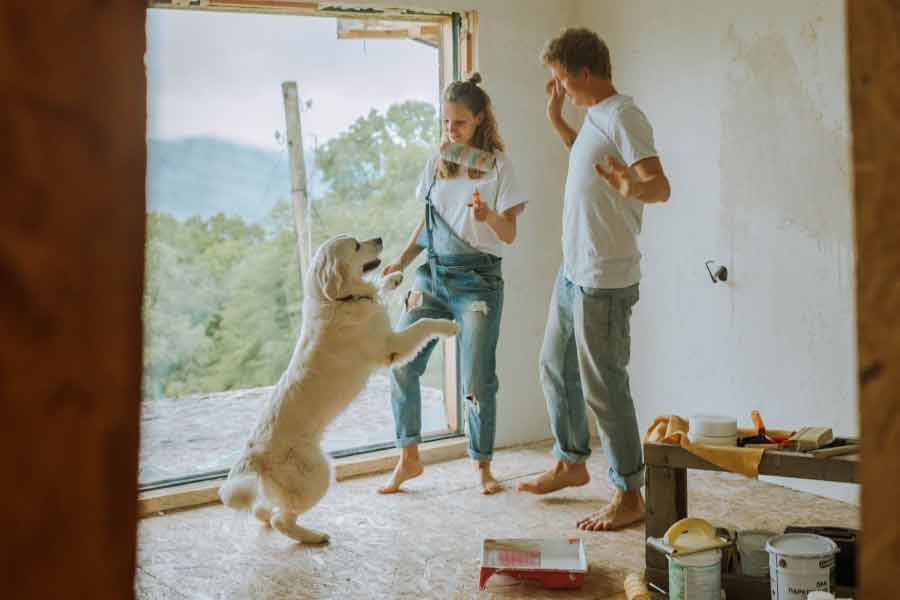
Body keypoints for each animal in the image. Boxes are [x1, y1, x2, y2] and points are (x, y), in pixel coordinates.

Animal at [218, 234, 458, 544]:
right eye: (355, 245)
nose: (378, 238)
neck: (337, 299)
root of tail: (253, 457)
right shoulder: (390, 345)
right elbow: (424, 323)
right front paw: (448, 326)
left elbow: (380, 287)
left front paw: (392, 277)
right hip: (319, 474)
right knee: (280, 519)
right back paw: (313, 537)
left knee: (263, 510)